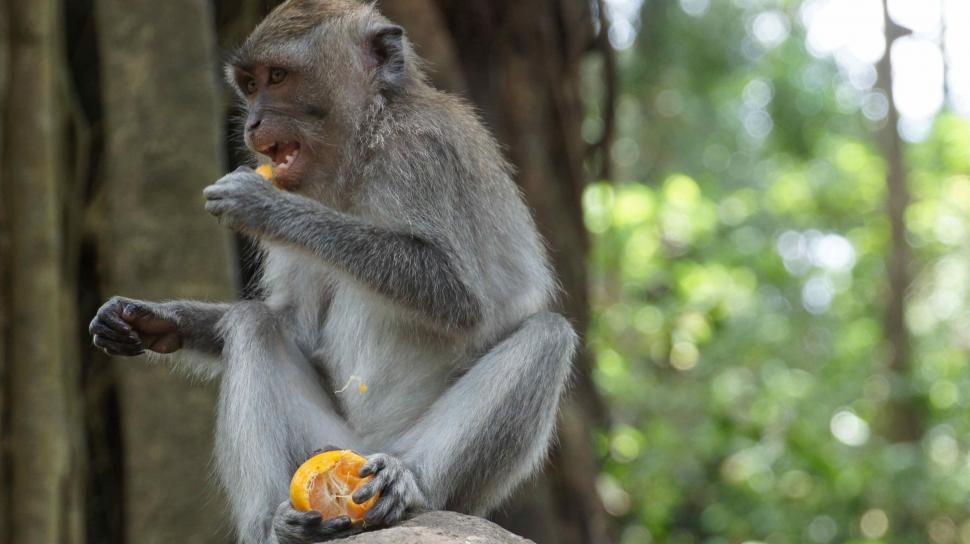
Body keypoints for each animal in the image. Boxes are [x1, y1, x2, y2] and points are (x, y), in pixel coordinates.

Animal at [88, 1, 576, 543]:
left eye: (278, 77)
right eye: (250, 84)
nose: (252, 122)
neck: (363, 146)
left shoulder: (423, 154)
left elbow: (461, 299)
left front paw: (266, 207)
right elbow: (292, 321)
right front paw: (153, 320)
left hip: (418, 471)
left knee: (548, 335)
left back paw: (407, 484)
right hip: (326, 442)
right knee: (254, 325)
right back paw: (273, 524)